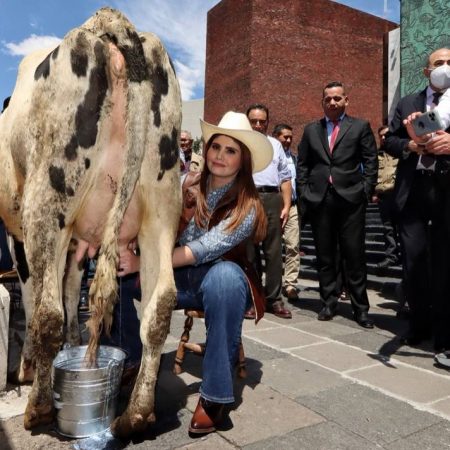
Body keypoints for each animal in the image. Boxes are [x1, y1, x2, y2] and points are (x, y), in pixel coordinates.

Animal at [0, 7, 183, 436]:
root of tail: (110, 27)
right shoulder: (76, 241)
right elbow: (70, 293)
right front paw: (71, 347)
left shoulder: (23, 236)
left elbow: (38, 300)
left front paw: (28, 367)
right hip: (162, 207)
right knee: (160, 305)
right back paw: (135, 415)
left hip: (45, 203)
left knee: (46, 313)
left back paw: (39, 409)